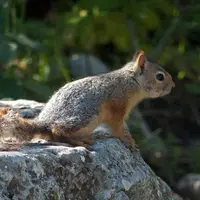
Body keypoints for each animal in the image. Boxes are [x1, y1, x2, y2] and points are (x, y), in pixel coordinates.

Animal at [0, 49, 174, 150]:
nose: (173, 86)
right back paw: (79, 141)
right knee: (56, 131)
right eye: (160, 77)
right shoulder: (117, 105)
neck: (132, 81)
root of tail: (44, 122)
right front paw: (128, 140)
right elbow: (118, 128)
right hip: (87, 116)